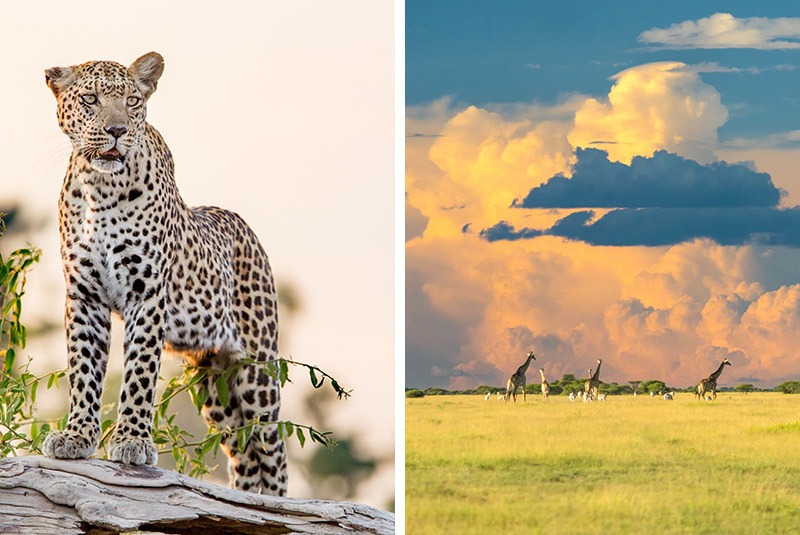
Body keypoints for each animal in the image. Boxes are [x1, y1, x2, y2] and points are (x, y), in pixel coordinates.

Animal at [39, 52, 288, 496]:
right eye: (90, 99)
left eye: (133, 101)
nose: (117, 130)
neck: (99, 187)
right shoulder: (84, 296)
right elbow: (83, 369)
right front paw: (77, 436)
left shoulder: (146, 293)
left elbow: (139, 371)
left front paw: (132, 442)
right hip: (214, 385)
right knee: (243, 452)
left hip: (257, 371)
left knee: (272, 450)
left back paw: (277, 504)